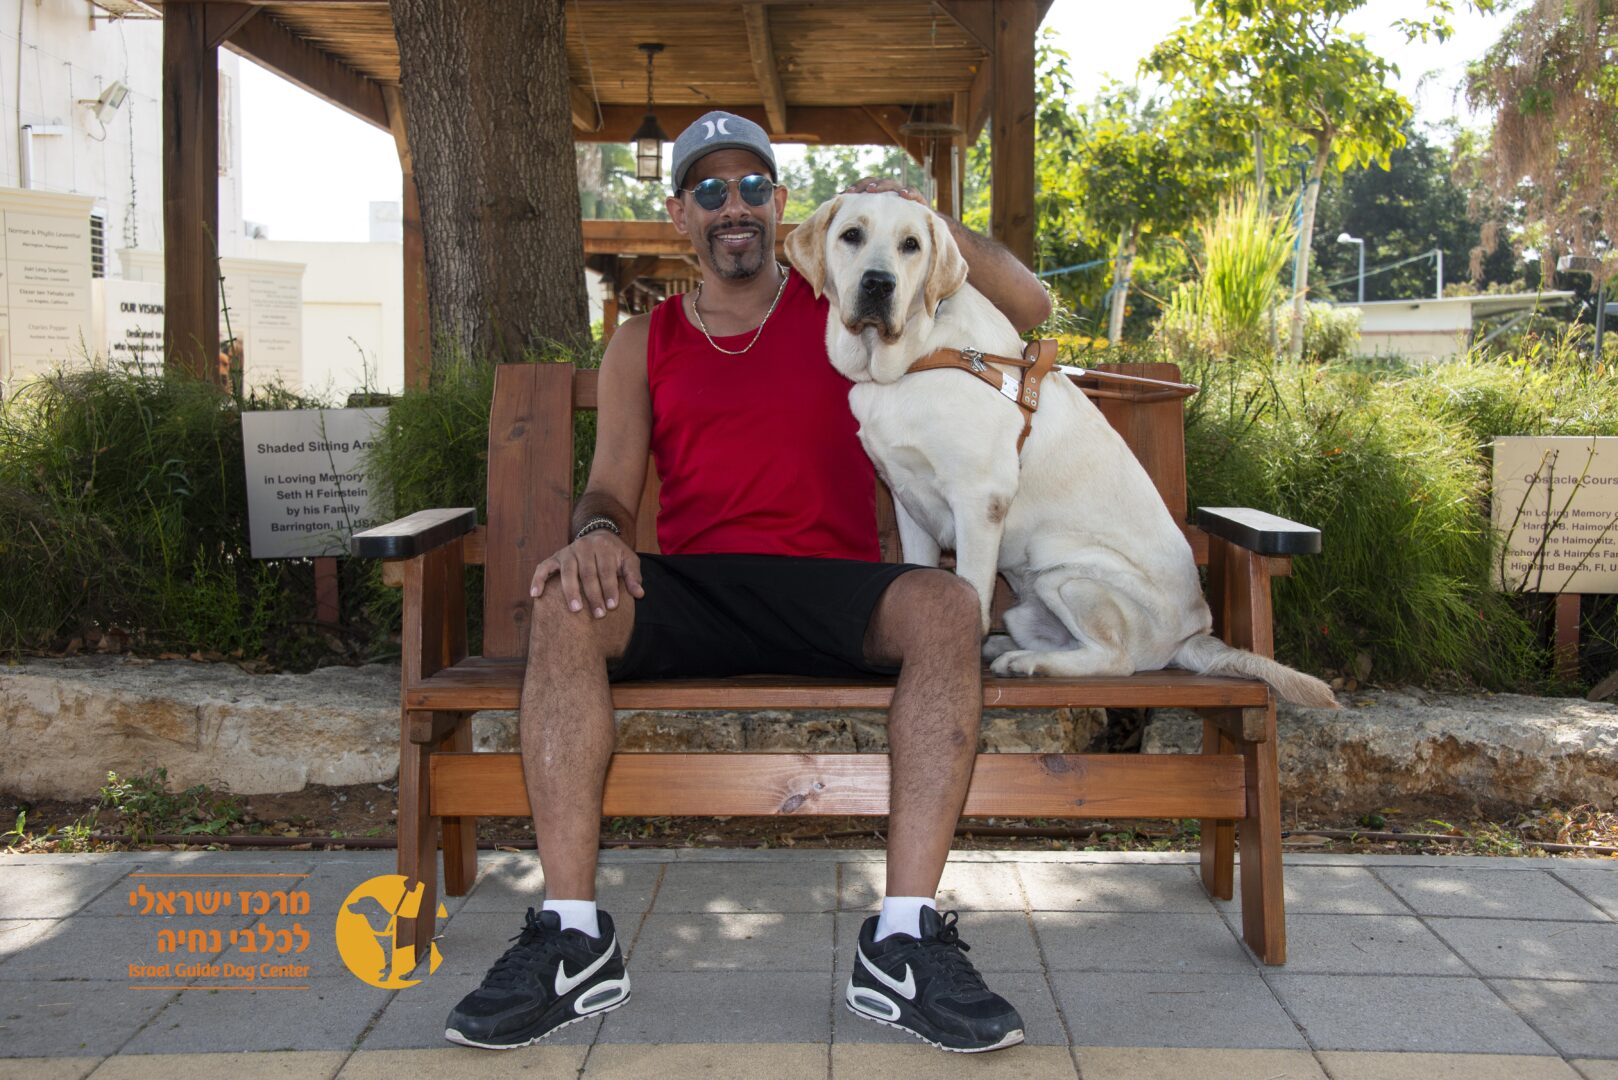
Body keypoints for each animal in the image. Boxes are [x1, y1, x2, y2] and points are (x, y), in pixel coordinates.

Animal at [779, 191, 1326, 709]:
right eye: (851, 235)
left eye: (910, 245)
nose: (878, 284)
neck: (916, 357)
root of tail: (1194, 636)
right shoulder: (907, 501)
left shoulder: (980, 500)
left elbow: (970, 594)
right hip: (1028, 605)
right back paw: (1011, 649)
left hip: (1065, 573)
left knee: (1117, 660)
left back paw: (1026, 663)